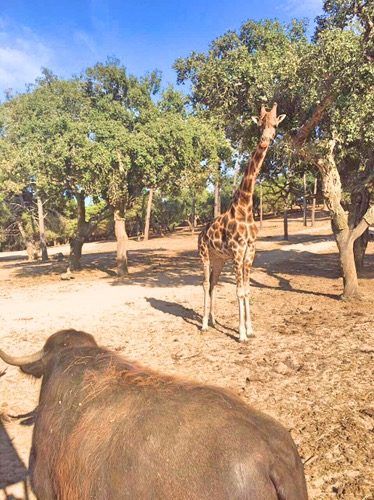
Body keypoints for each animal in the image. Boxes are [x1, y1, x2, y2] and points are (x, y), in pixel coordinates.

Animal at [197, 103, 284, 342]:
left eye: (275, 126)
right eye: (259, 125)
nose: (264, 140)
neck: (245, 206)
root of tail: (200, 232)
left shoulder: (250, 250)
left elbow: (247, 290)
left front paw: (250, 329)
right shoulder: (237, 250)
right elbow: (239, 291)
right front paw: (242, 335)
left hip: (219, 259)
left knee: (213, 284)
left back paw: (214, 321)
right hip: (204, 254)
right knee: (205, 283)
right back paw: (204, 324)